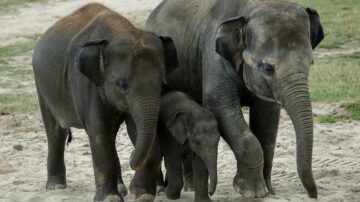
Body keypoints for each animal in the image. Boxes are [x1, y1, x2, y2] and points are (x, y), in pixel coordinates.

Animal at [31, 3, 178, 202]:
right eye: (122, 85)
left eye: (162, 82)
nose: (131, 158)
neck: (119, 30)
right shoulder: (84, 82)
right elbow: (98, 130)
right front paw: (110, 198)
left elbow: (134, 128)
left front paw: (143, 194)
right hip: (43, 88)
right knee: (56, 132)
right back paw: (56, 187)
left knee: (112, 133)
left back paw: (121, 188)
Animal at [146, 0, 324, 199]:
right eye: (267, 68)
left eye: (311, 63)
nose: (313, 195)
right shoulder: (214, 57)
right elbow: (221, 107)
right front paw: (251, 192)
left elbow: (267, 119)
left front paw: (268, 190)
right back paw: (166, 189)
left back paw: (189, 187)